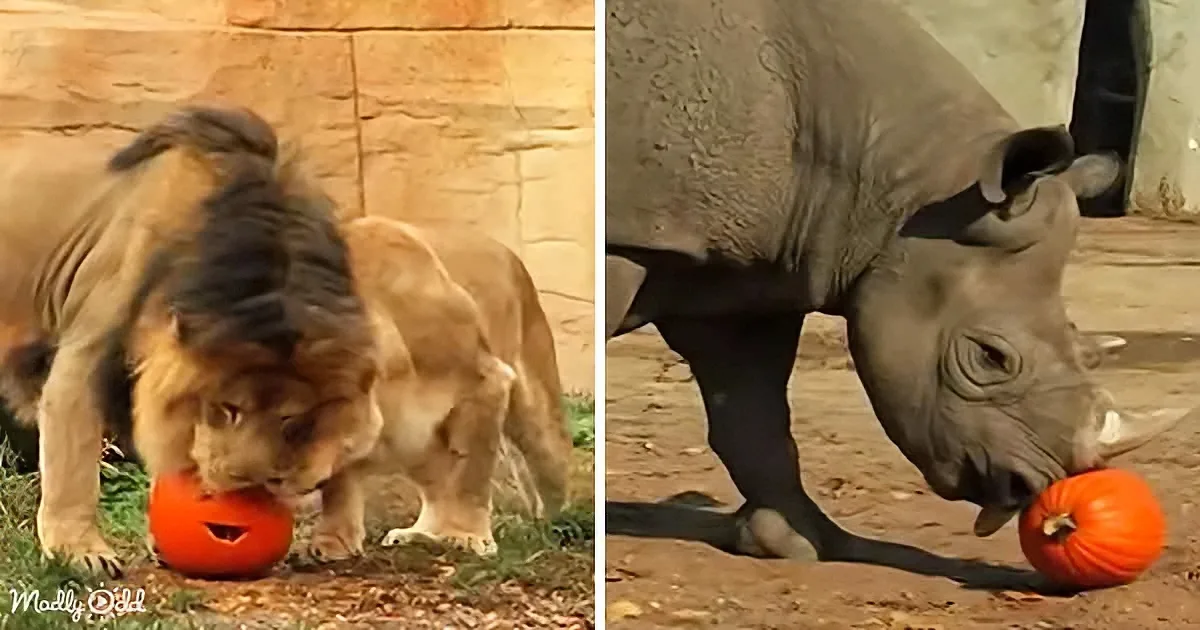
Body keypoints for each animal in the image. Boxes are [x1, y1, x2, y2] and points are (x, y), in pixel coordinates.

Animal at [0, 104, 574, 577]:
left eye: (293, 421)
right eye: (225, 409)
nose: (246, 485)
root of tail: (506, 252)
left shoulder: (483, 380)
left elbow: (469, 473)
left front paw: (456, 537)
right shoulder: (88, 351)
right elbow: (74, 464)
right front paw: (79, 552)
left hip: (533, 406)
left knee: (544, 466)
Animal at [605, 0, 1193, 560]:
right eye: (989, 358)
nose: (1035, 485)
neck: (903, 192)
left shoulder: (745, 269)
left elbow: (755, 416)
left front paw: (800, 543)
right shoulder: (628, 234)